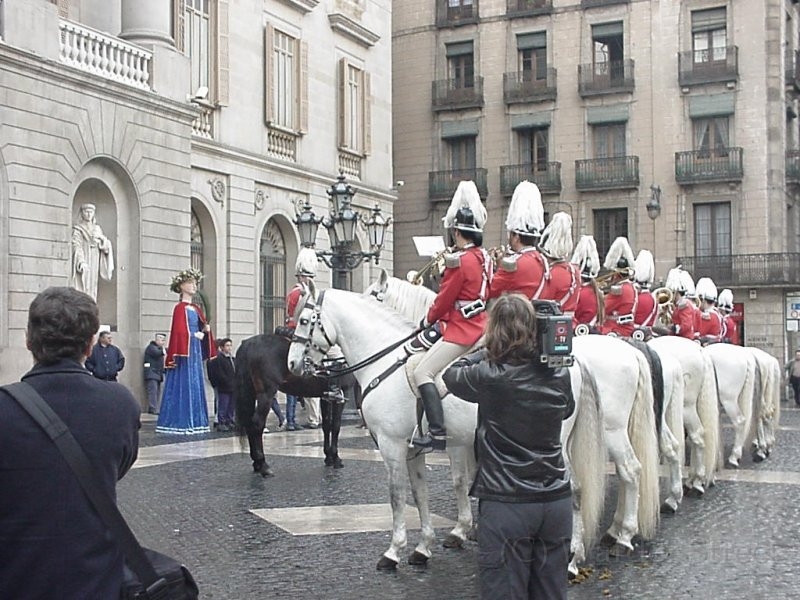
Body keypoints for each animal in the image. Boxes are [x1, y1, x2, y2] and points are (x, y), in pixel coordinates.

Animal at [231, 332, 356, 478]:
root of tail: (249, 343)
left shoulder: (326, 398)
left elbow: (327, 426)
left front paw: (329, 457)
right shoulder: (340, 396)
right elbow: (335, 426)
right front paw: (336, 458)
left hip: (251, 392)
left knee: (249, 424)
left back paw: (256, 464)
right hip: (266, 394)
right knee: (257, 424)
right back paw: (263, 465)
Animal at [288, 284, 608, 572]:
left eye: (303, 320)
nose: (291, 364)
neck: (385, 359)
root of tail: (576, 360)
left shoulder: (393, 445)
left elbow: (397, 496)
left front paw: (393, 551)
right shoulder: (415, 449)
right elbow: (420, 493)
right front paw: (423, 547)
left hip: (553, 445)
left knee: (574, 490)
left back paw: (572, 560)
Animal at [366, 272, 660, 556]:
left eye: (373, 293)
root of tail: (630, 352)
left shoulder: (414, 442)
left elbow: (439, 485)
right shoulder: (444, 442)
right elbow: (440, 486)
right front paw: (453, 534)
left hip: (609, 430)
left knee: (628, 471)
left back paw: (620, 538)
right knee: (625, 472)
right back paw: (615, 532)